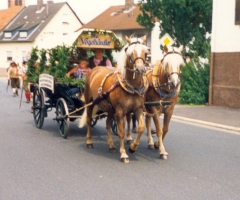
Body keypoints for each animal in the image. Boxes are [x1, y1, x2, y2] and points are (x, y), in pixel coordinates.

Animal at [80, 35, 148, 163]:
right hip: (90, 102)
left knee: (107, 124)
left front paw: (132, 147)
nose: (140, 69)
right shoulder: (120, 111)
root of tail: (94, 69)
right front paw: (124, 154)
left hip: (110, 109)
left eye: (145, 52)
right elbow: (121, 132)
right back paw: (89, 141)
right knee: (89, 120)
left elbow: (141, 128)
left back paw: (111, 145)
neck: (132, 87)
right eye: (131, 53)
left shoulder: (138, 109)